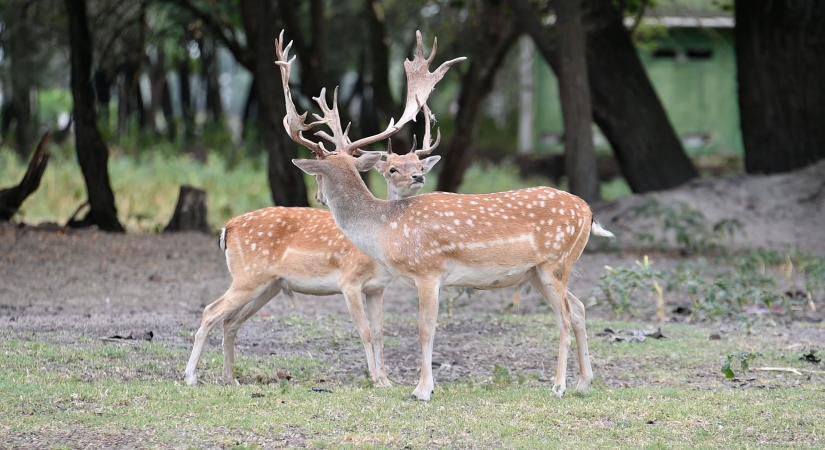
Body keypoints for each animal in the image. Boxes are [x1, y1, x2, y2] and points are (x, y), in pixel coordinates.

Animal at [280, 29, 616, 400]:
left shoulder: (429, 270)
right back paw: (584, 383)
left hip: (556, 262)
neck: (385, 229)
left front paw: (422, 389)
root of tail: (588, 212)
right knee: (580, 308)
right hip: (537, 272)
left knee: (566, 316)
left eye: (317, 174)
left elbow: (425, 328)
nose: (317, 197)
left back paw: (558, 385)